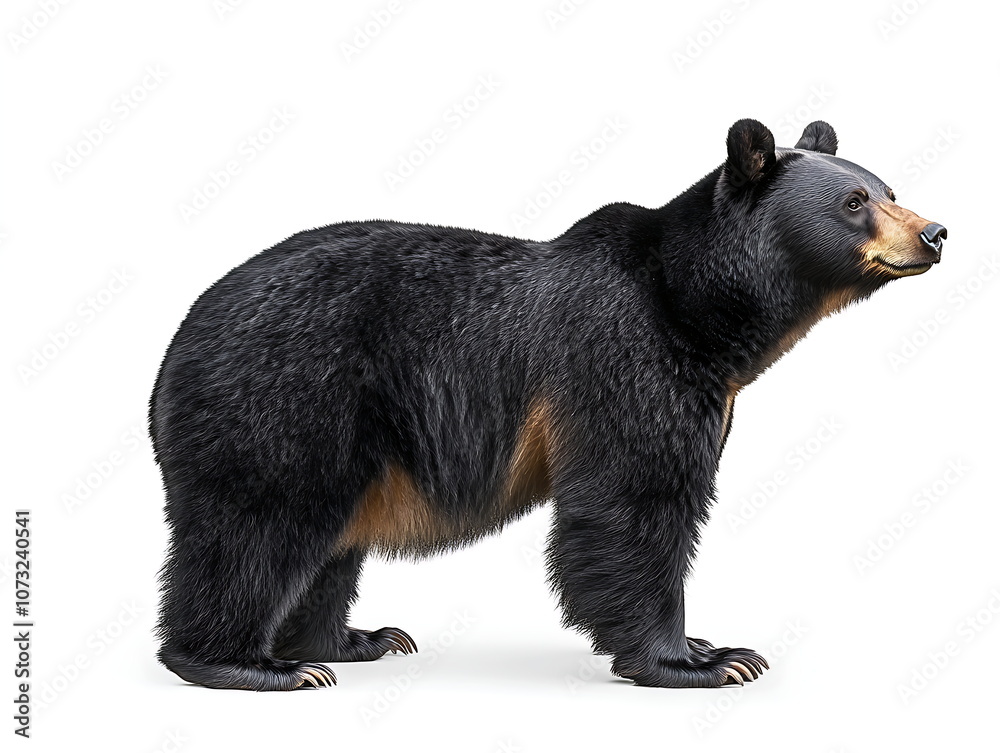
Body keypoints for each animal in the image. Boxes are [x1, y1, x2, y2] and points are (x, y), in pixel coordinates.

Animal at [150, 119, 947, 690]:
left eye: (888, 186)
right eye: (854, 203)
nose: (934, 231)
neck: (701, 310)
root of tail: (176, 343)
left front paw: (702, 642)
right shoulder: (626, 358)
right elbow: (633, 500)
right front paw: (700, 659)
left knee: (328, 542)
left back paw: (354, 641)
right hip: (285, 394)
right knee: (258, 525)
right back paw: (244, 662)